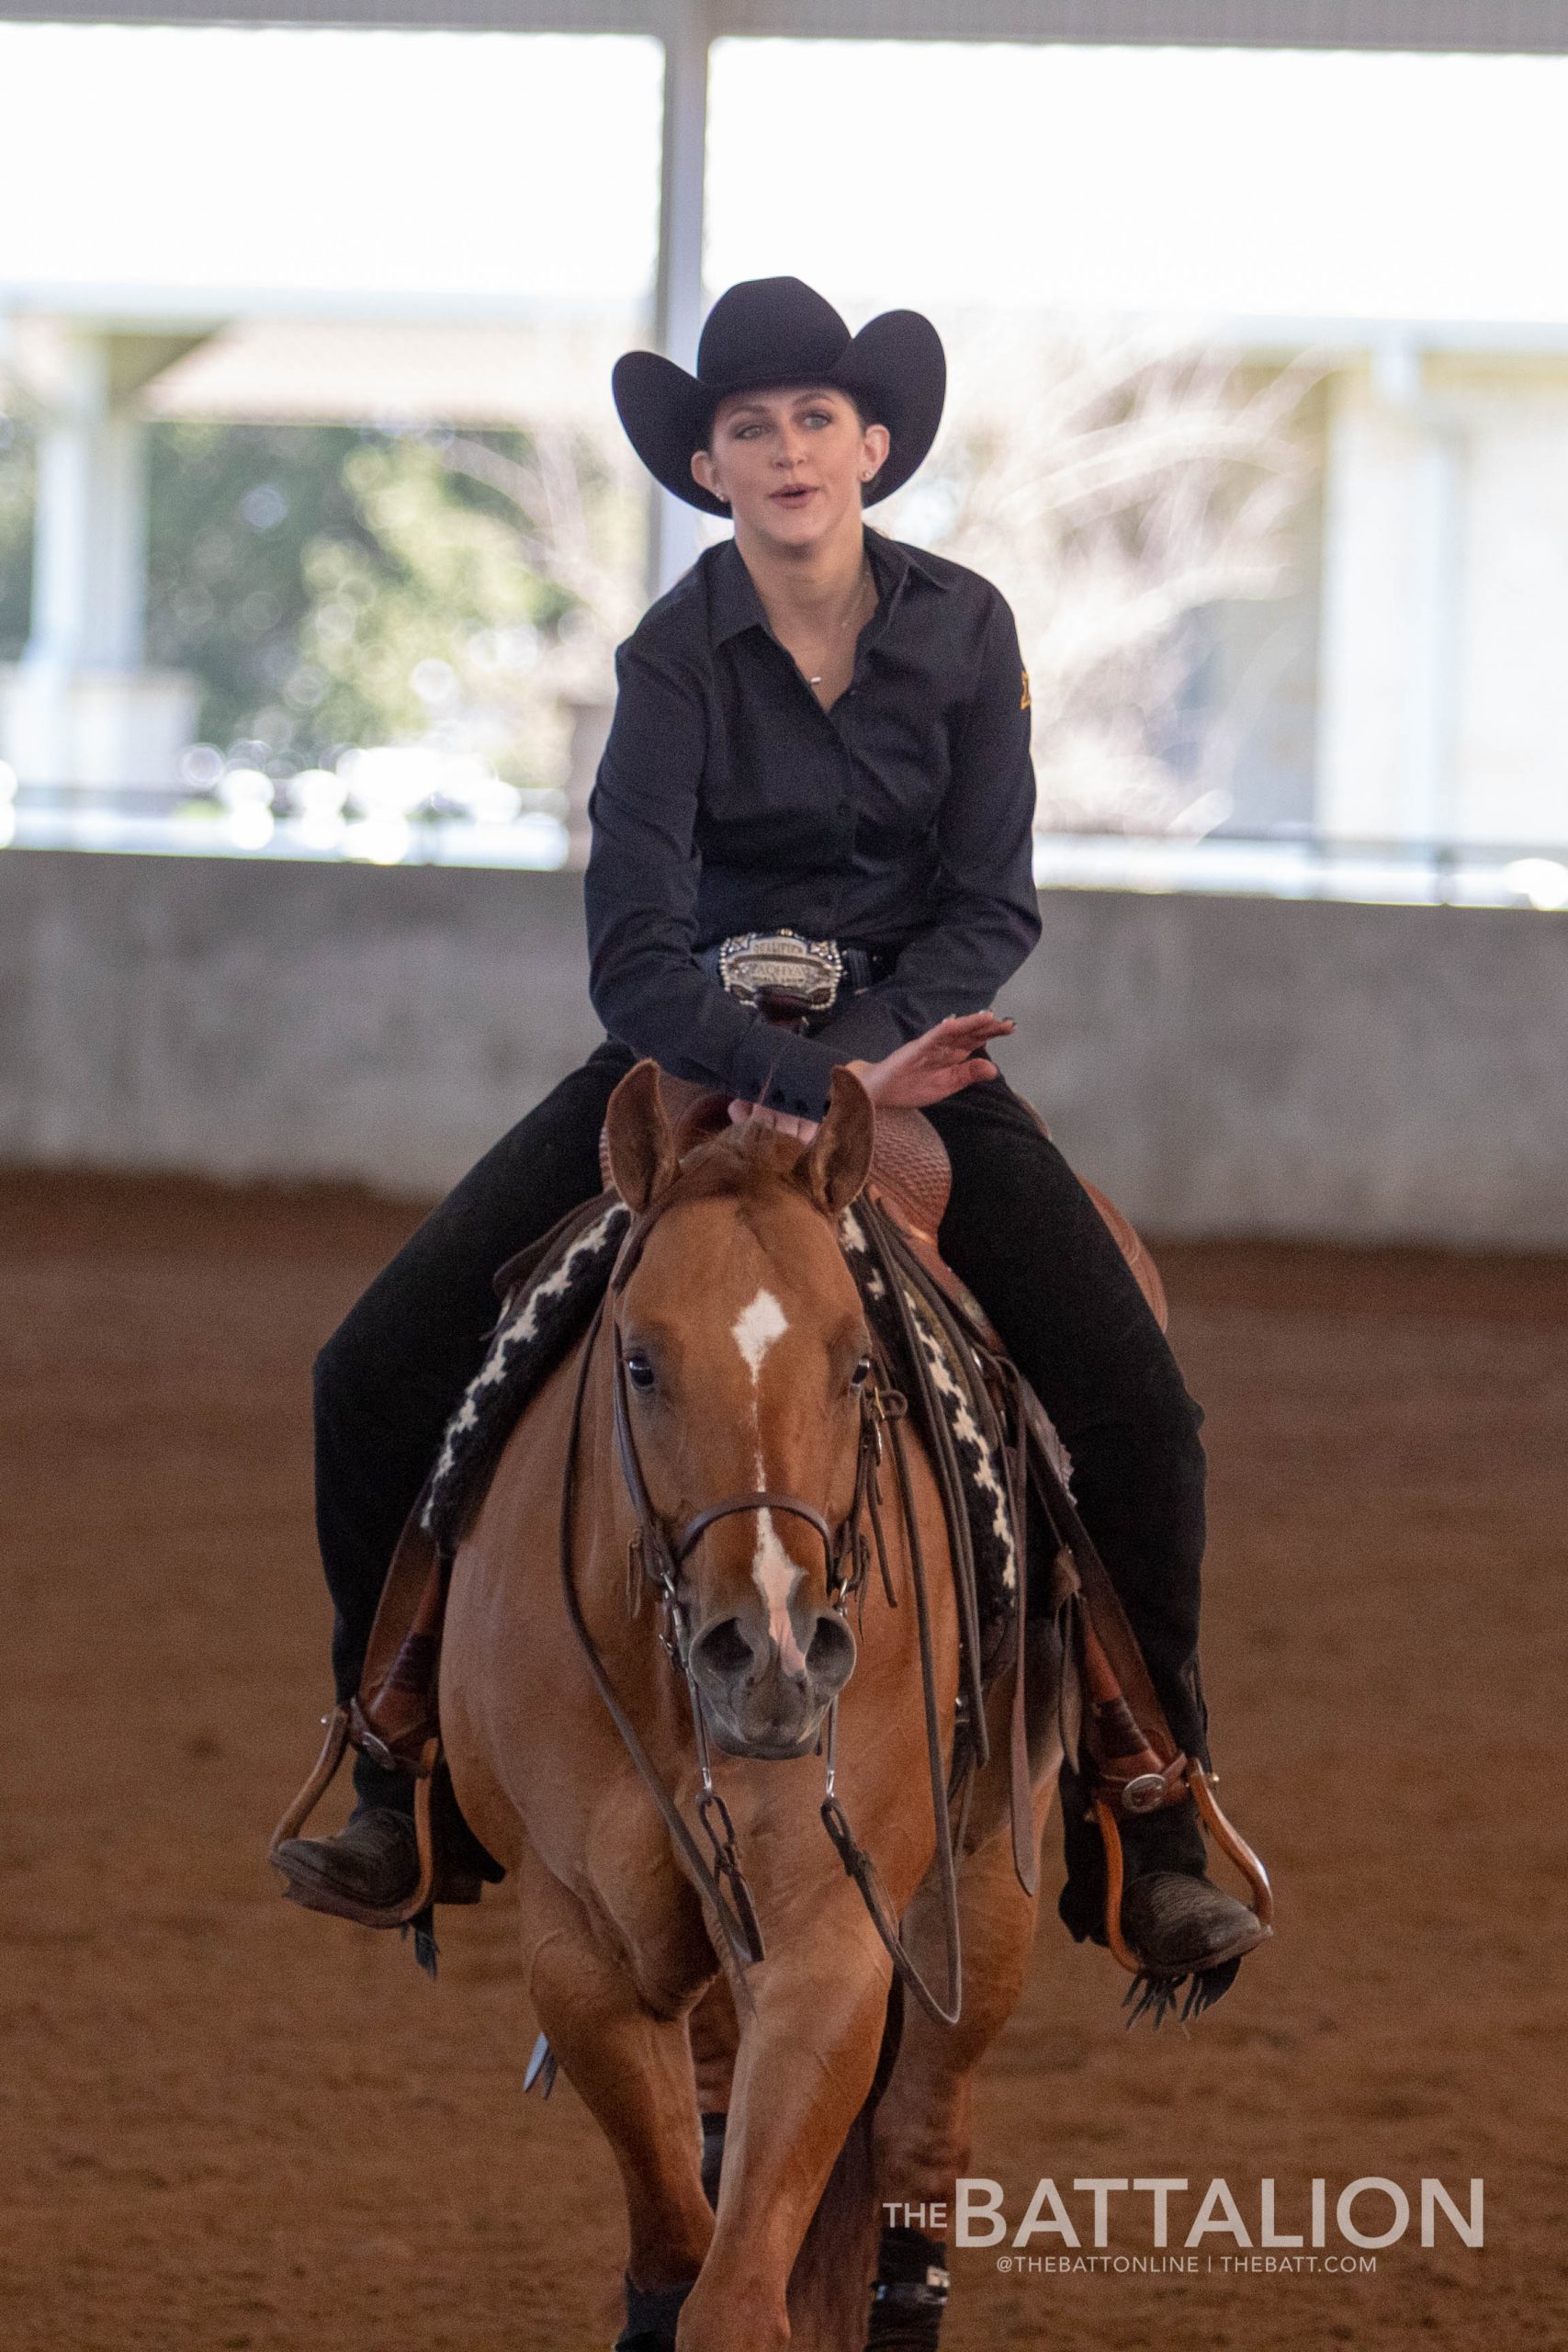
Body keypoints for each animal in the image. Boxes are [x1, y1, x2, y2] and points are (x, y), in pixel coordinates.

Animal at [434, 1072, 1062, 2352]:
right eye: (639, 1361)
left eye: (858, 1363)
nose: (771, 1655)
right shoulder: (581, 1944)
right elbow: (676, 2250)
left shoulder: (827, 1939)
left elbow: (731, 2297)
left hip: (987, 1889)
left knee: (922, 2137)